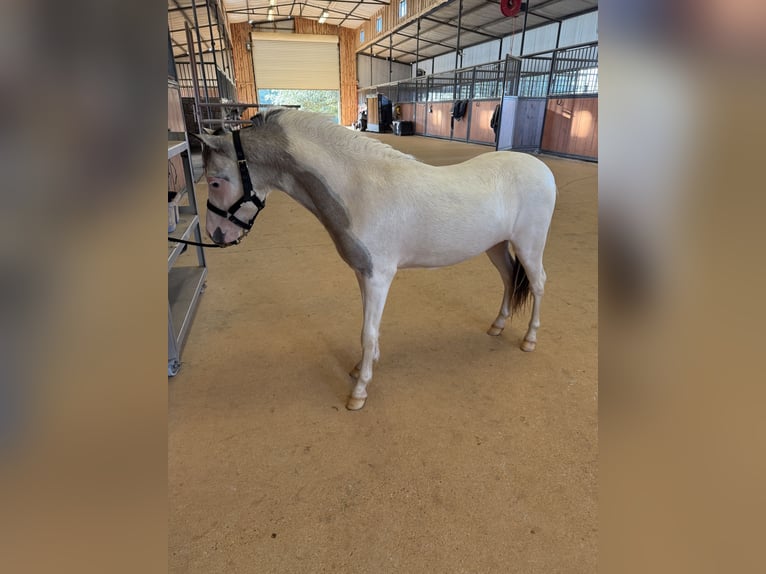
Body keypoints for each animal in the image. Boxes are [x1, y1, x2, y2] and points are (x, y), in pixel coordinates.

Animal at [196, 108, 556, 410]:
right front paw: (362, 368)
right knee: (509, 278)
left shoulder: (378, 277)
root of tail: (542, 169)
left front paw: (359, 392)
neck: (359, 190)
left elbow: (367, 332)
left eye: (215, 181)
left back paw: (529, 340)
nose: (216, 234)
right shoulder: (363, 273)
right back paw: (497, 326)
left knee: (538, 284)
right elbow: (370, 328)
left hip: (529, 245)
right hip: (496, 246)